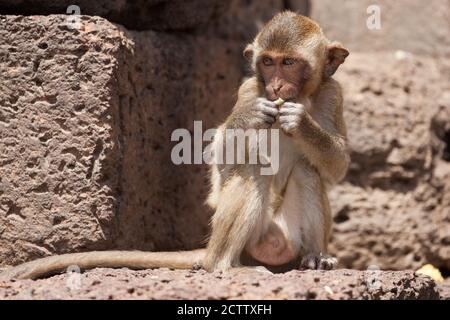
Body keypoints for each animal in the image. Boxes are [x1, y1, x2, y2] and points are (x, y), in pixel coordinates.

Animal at [0, 11, 348, 280]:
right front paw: (249, 117)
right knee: (254, 168)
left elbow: (338, 164)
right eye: (267, 62)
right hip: (253, 240)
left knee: (307, 169)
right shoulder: (249, 89)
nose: (275, 85)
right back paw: (223, 266)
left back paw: (316, 257)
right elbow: (222, 164)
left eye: (288, 62)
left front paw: (301, 123)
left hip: (285, 237)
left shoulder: (333, 94)